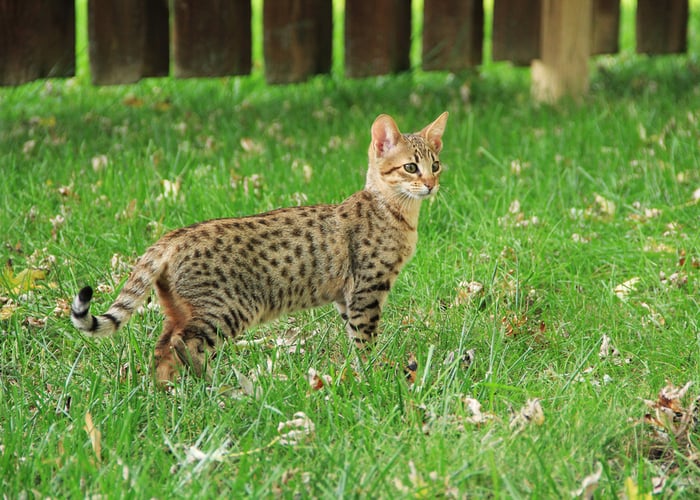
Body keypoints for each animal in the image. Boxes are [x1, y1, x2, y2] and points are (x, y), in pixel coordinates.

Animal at [71, 112, 448, 386]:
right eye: (410, 167)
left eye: (436, 165)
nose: (431, 184)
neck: (395, 212)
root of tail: (173, 236)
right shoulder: (367, 289)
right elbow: (365, 338)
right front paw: (374, 374)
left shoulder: (347, 296)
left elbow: (353, 334)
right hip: (225, 310)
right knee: (180, 345)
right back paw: (210, 387)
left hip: (182, 309)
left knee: (162, 347)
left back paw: (167, 389)